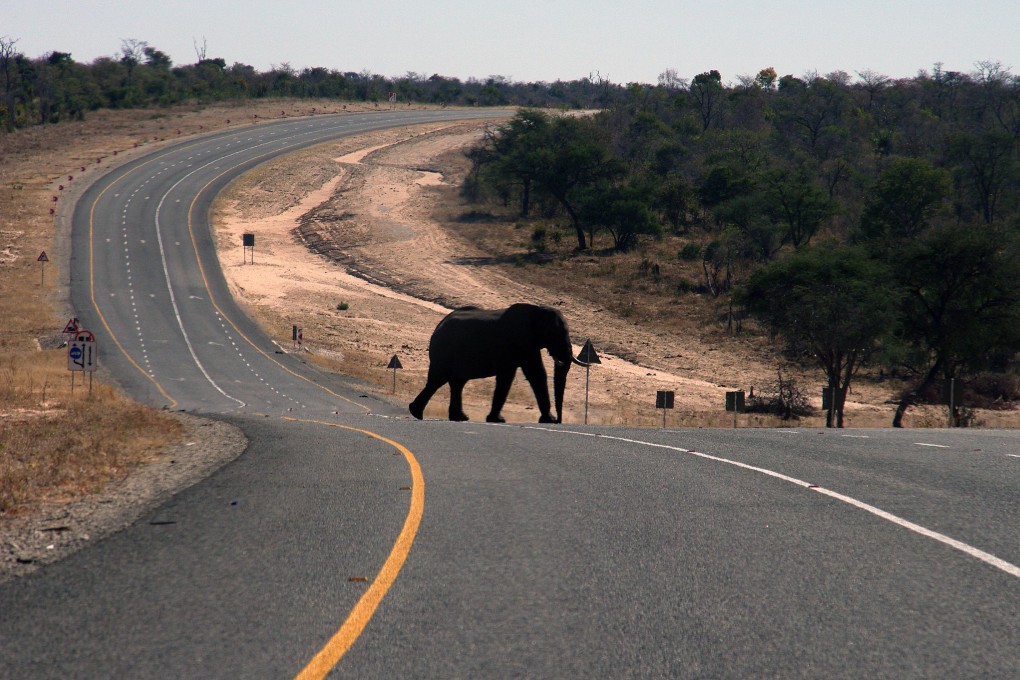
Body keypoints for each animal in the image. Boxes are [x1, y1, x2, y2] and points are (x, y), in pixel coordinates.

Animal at [409, 303, 587, 423]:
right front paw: (498, 420)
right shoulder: (514, 341)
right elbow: (508, 376)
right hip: (443, 352)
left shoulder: (528, 344)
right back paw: (417, 413)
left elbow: (537, 374)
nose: (559, 420)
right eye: (555, 334)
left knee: (457, 383)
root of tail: (438, 326)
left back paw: (459, 417)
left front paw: (547, 420)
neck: (537, 311)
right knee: (437, 380)